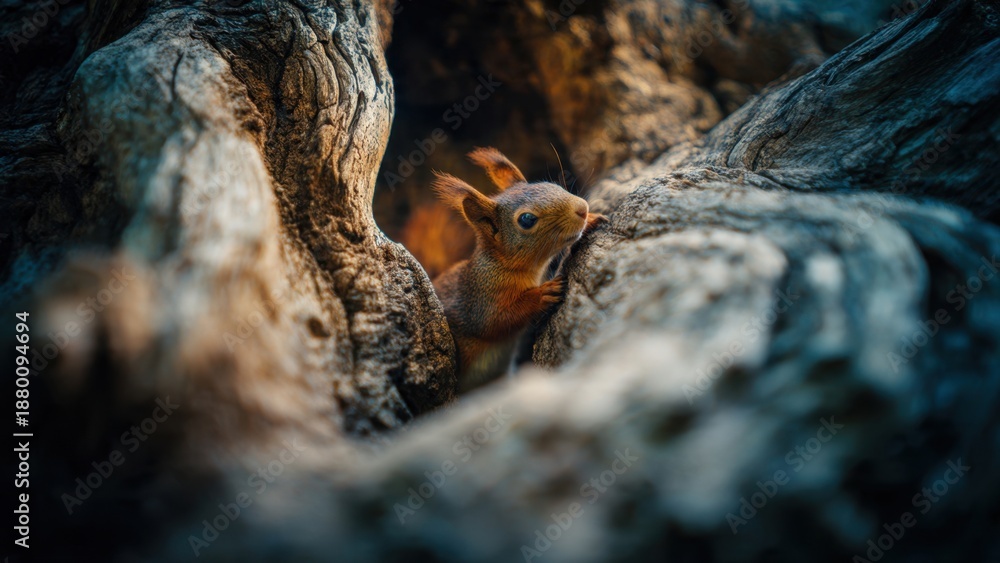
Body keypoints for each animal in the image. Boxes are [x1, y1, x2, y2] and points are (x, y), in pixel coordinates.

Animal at [431, 147, 607, 392]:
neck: (506, 266)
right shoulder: (478, 302)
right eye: (527, 219)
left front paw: (591, 221)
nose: (582, 209)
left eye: (552, 184)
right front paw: (543, 293)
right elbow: (498, 321)